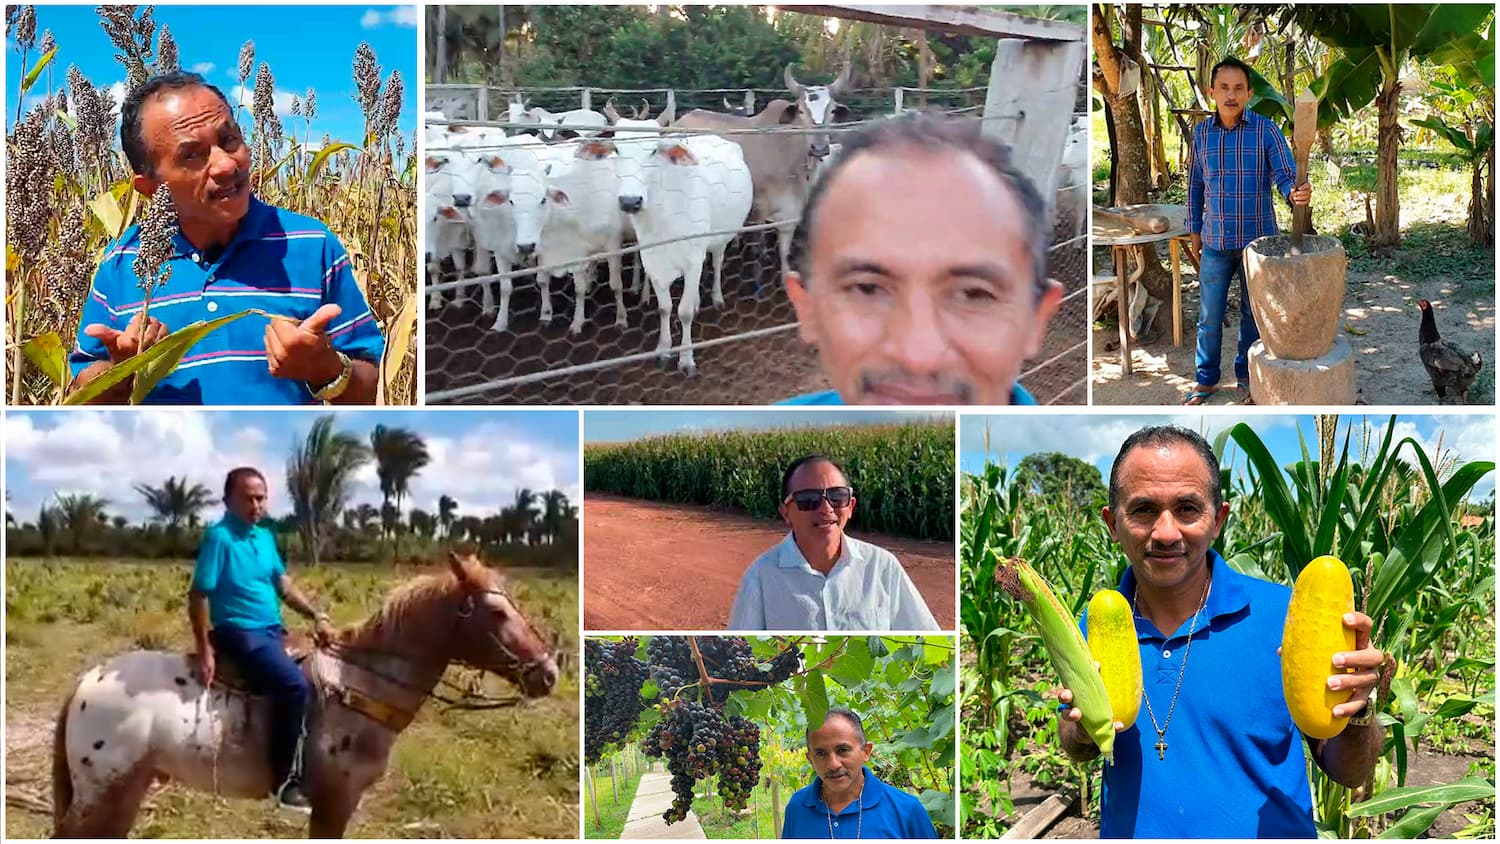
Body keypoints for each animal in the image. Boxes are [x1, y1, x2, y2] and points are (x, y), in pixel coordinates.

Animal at [612, 132, 756, 376]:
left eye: (654, 150)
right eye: (616, 150)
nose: (630, 201)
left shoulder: (693, 261)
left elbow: (685, 312)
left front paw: (686, 359)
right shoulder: (652, 262)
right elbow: (664, 308)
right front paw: (663, 348)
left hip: (720, 238)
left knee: (717, 263)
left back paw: (716, 297)